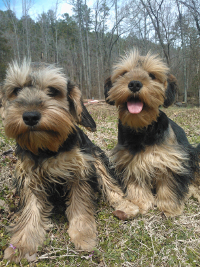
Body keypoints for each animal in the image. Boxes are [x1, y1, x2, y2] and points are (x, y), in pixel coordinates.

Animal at [0, 59, 139, 262]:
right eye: (16, 90)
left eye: (52, 91)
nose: (30, 116)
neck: (47, 148)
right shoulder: (29, 179)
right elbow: (30, 212)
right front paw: (20, 245)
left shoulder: (79, 170)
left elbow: (80, 205)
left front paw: (83, 235)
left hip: (96, 156)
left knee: (110, 183)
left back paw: (125, 206)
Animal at [104, 49, 200, 218]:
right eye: (124, 73)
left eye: (152, 75)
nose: (135, 84)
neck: (142, 128)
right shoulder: (131, 161)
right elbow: (136, 184)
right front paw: (139, 203)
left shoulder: (170, 160)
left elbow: (169, 184)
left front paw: (169, 207)